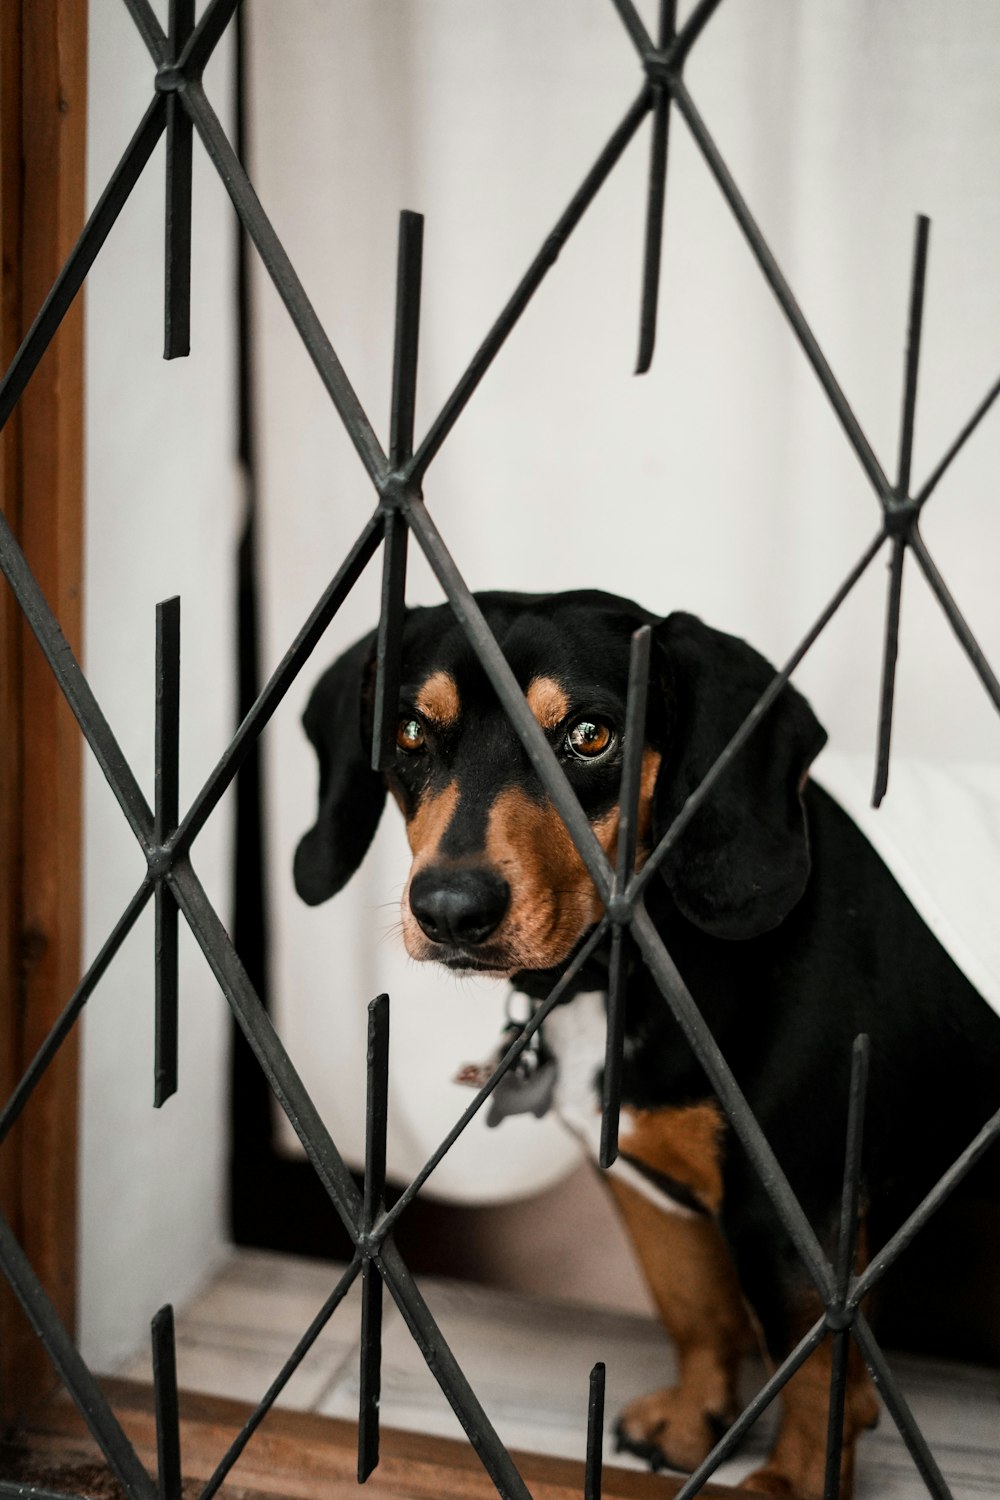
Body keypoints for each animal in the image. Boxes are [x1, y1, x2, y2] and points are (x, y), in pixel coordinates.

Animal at [295, 588, 1000, 1500]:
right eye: (412, 732)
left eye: (591, 735)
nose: (450, 909)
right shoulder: (650, 1193)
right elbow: (694, 1310)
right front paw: (694, 1419)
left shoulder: (797, 1215)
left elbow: (815, 1379)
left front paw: (790, 1484)